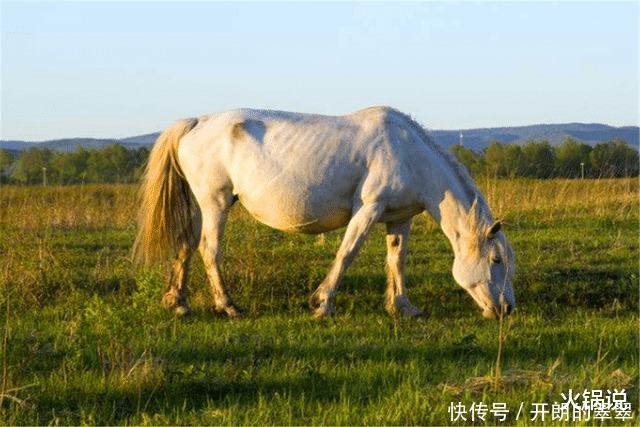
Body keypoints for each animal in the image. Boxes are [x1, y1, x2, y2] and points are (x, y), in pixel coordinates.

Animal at [134, 106, 516, 320]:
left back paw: (178, 303)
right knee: (209, 250)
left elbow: (397, 261)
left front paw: (402, 307)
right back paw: (228, 306)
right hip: (215, 203)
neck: (410, 155)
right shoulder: (369, 210)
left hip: (202, 206)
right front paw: (322, 303)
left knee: (185, 245)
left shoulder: (398, 218)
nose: (507, 309)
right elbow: (346, 254)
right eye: (496, 260)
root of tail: (197, 122)